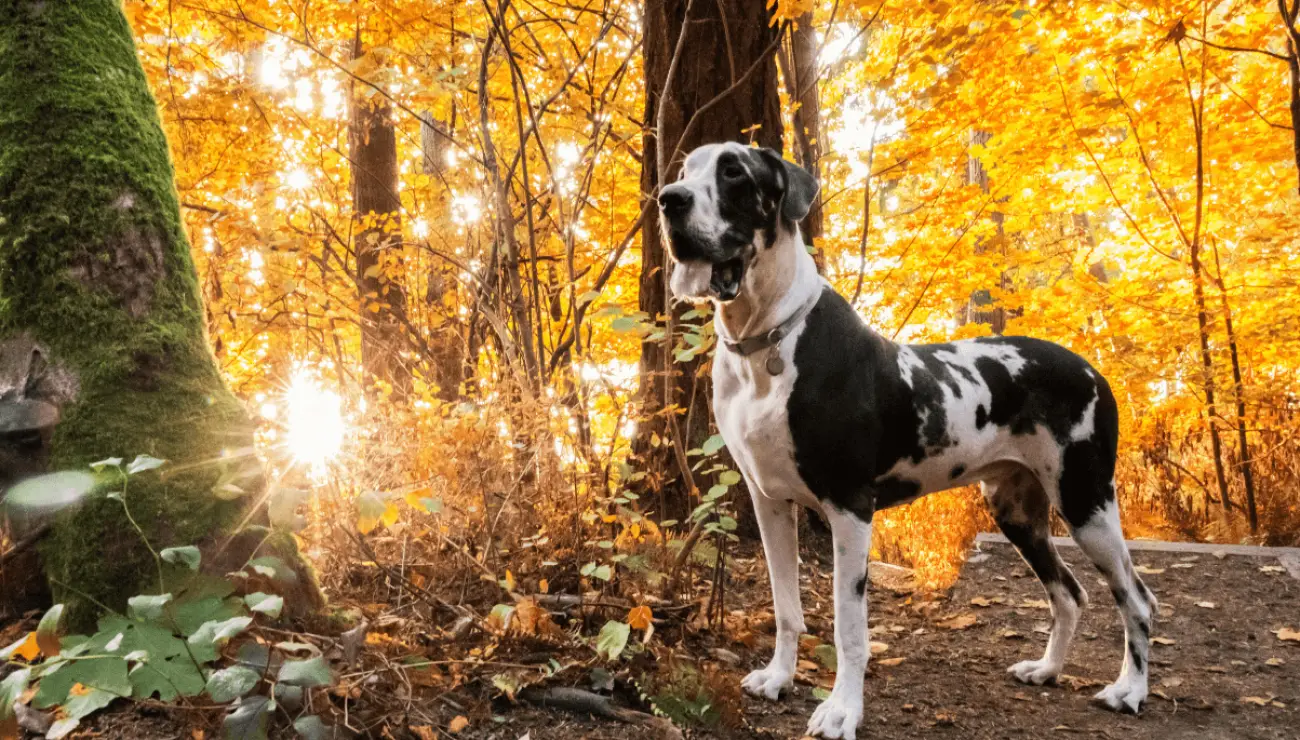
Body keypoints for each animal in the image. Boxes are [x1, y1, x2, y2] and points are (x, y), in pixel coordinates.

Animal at [660, 139, 1159, 738]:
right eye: (685, 170)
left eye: (733, 171)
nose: (668, 199)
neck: (767, 342)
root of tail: (1092, 370)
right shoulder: (769, 502)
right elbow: (786, 606)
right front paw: (779, 678)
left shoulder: (849, 508)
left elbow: (849, 627)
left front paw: (842, 711)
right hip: (1016, 510)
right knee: (1069, 593)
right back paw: (1046, 670)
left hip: (1087, 502)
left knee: (1137, 599)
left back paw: (1130, 691)